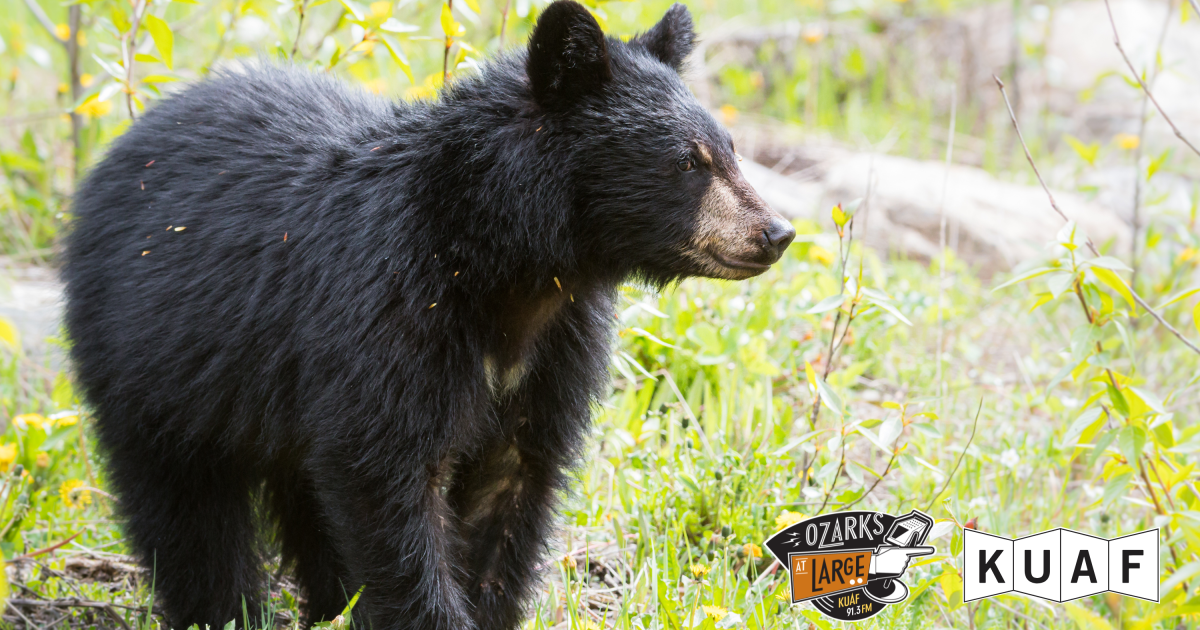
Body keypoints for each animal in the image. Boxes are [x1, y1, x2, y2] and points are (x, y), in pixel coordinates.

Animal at [62, 2, 795, 629]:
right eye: (688, 161)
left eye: (730, 148)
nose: (776, 232)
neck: (511, 270)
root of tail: (121, 148)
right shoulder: (388, 311)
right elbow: (388, 477)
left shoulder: (557, 348)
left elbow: (512, 486)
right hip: (152, 356)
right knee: (187, 508)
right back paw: (224, 609)